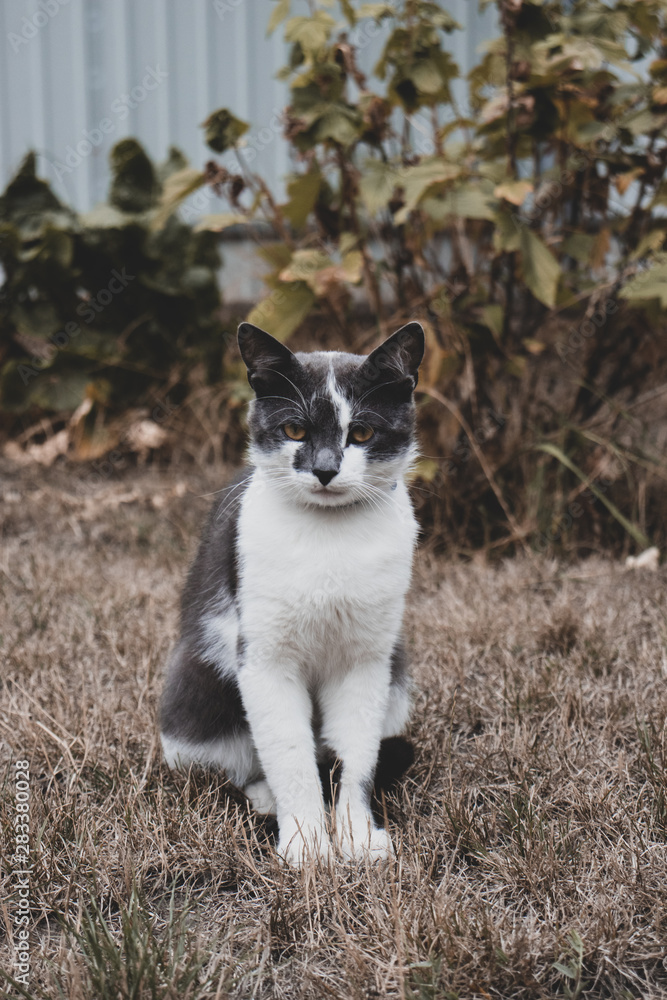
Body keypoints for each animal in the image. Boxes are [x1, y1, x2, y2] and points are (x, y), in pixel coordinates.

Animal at [160, 322, 426, 868]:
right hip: (196, 690)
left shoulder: (367, 661)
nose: (325, 469)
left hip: (398, 673)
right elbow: (290, 756)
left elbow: (357, 758)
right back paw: (264, 797)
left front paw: (355, 837)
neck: (329, 537)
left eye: (361, 433)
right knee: (227, 766)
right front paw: (306, 846)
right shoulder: (265, 661)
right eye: (294, 431)